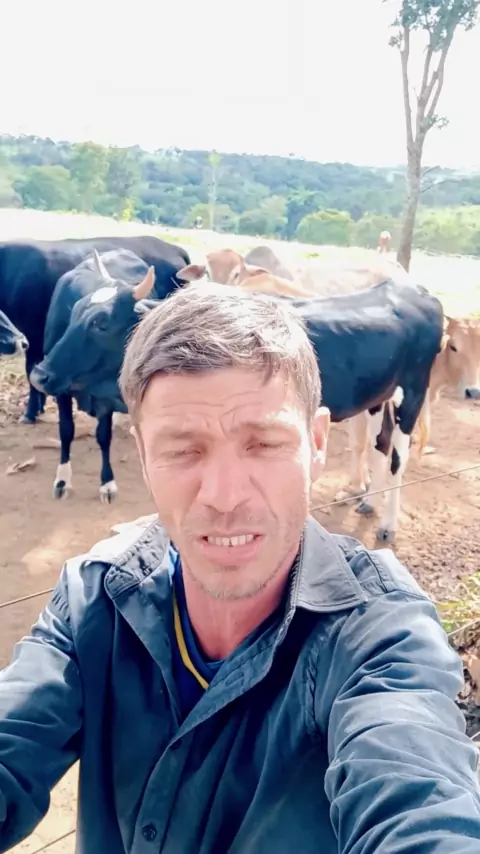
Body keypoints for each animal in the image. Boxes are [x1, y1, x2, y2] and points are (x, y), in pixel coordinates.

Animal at [30, 249, 168, 503]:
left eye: (102, 324)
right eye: (74, 313)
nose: (38, 376)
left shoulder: (108, 400)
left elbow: (104, 436)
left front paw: (107, 483)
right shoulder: (62, 391)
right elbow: (66, 431)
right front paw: (63, 480)